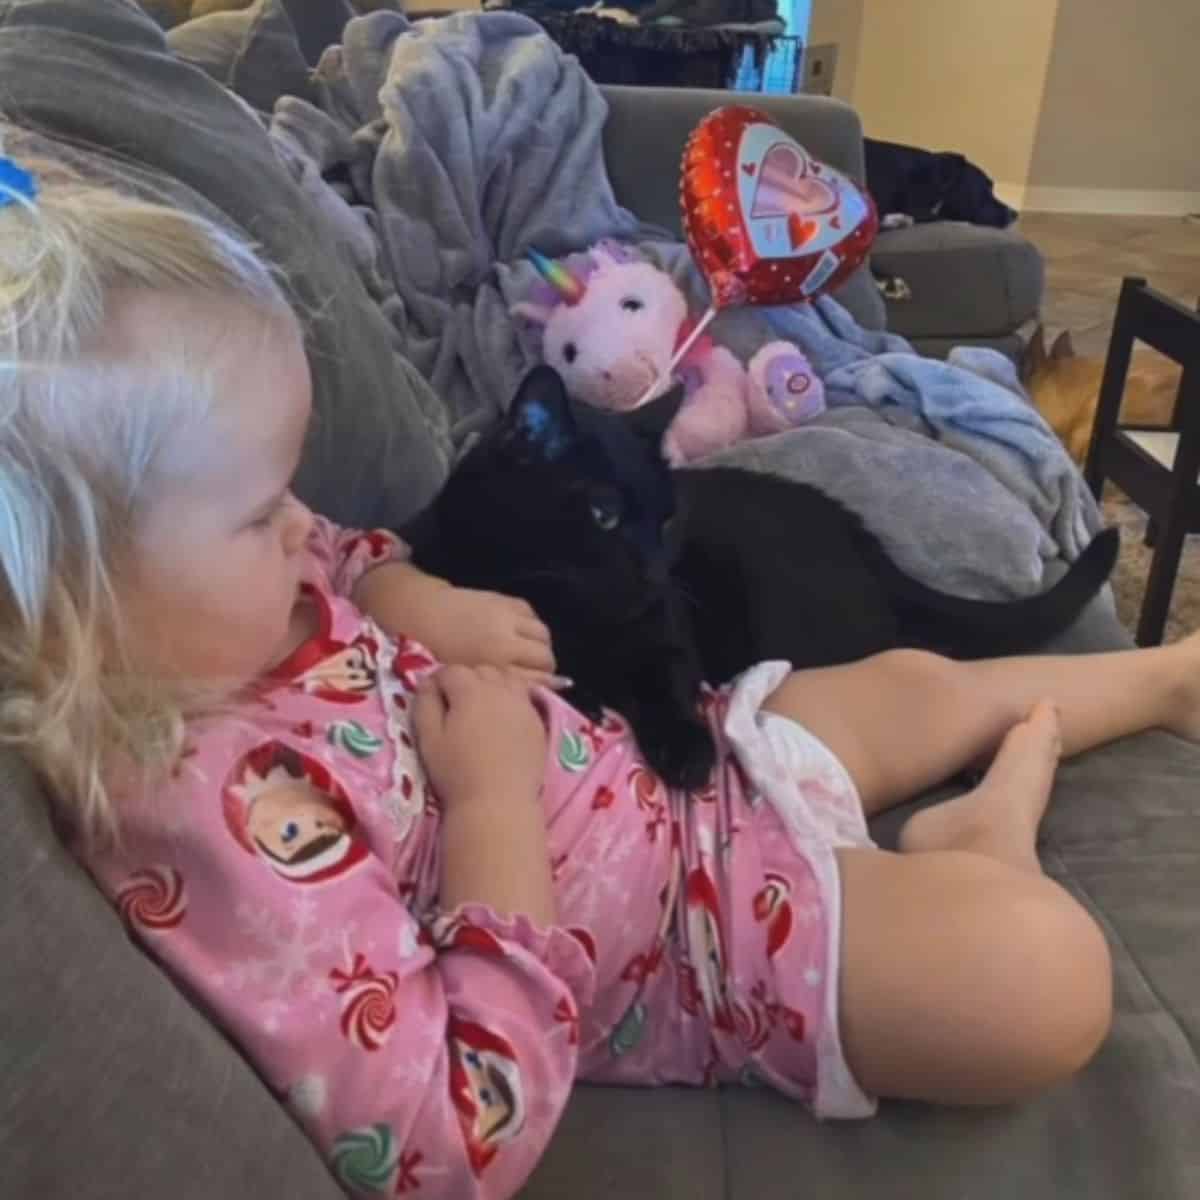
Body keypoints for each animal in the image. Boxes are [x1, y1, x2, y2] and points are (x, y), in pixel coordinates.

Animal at [408, 369, 1118, 792]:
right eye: (603, 514)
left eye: (667, 519)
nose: (653, 568)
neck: (574, 610)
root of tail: (859, 537)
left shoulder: (669, 629)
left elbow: (667, 680)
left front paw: (687, 749)